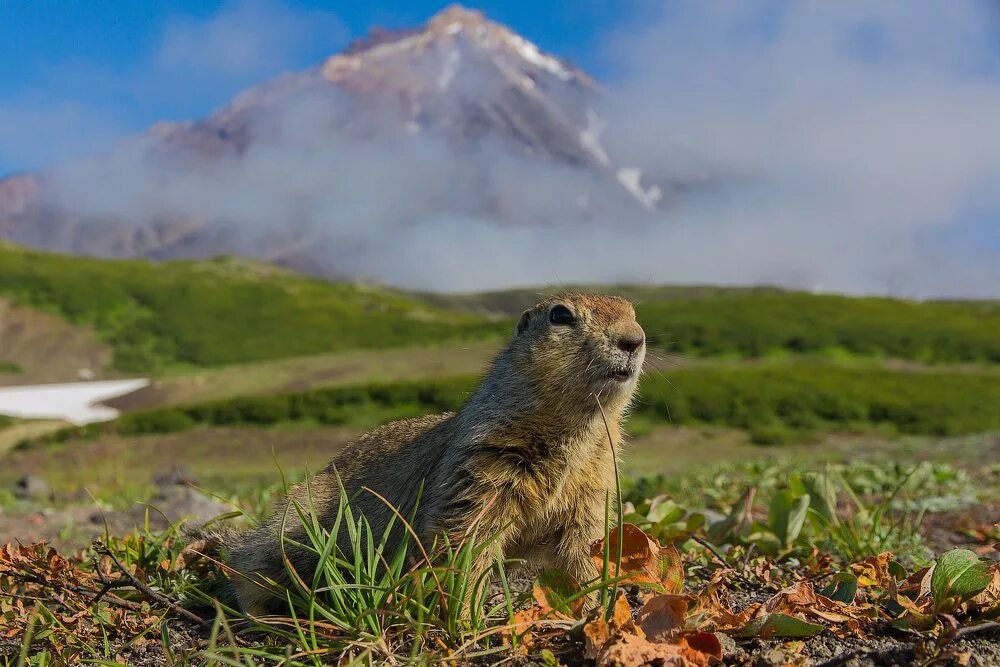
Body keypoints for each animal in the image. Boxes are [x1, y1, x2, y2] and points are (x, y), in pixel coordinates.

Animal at [225, 292, 648, 616]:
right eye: (561, 315)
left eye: (633, 311)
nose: (634, 339)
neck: (575, 429)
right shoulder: (483, 464)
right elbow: (465, 539)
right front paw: (466, 615)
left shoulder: (592, 489)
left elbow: (582, 548)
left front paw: (592, 605)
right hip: (294, 525)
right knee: (245, 568)